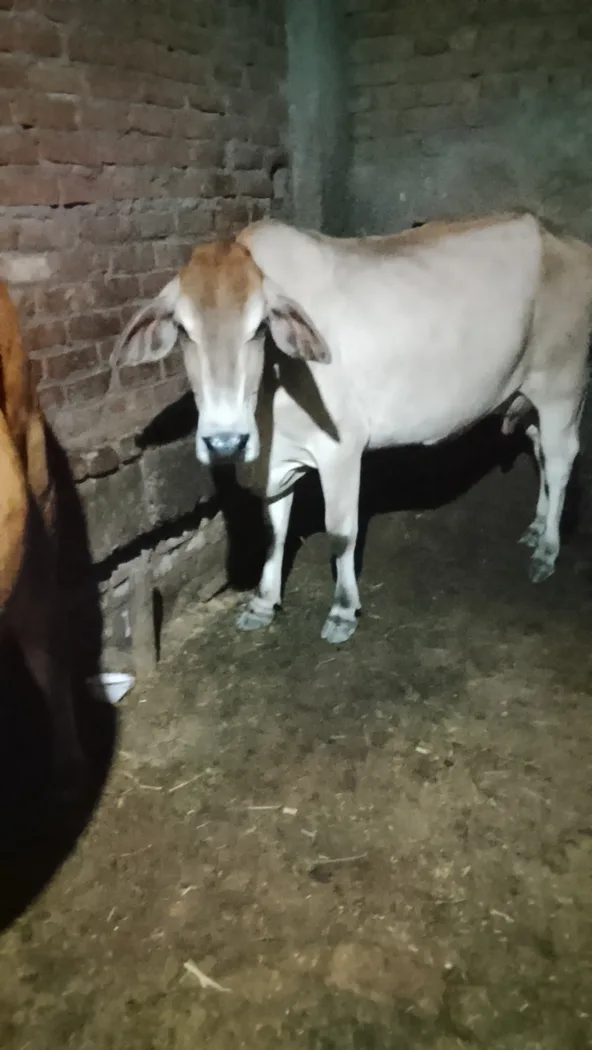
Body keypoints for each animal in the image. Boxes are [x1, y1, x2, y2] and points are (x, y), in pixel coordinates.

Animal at [113, 211, 591, 644]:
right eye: (183, 330)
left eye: (260, 327)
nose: (225, 440)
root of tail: (561, 234)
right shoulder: (275, 462)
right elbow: (275, 532)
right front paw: (263, 603)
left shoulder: (341, 450)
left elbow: (341, 533)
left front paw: (343, 610)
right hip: (525, 395)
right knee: (541, 452)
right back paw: (536, 528)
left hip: (561, 385)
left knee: (561, 459)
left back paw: (547, 550)